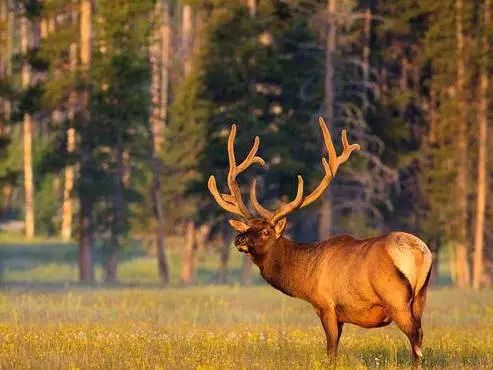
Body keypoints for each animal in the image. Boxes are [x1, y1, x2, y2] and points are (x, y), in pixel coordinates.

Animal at [207, 118, 430, 362]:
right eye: (248, 227)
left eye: (266, 232)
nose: (239, 238)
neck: (305, 277)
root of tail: (420, 252)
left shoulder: (326, 305)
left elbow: (331, 350)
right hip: (420, 298)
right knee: (420, 333)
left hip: (396, 299)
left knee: (415, 338)